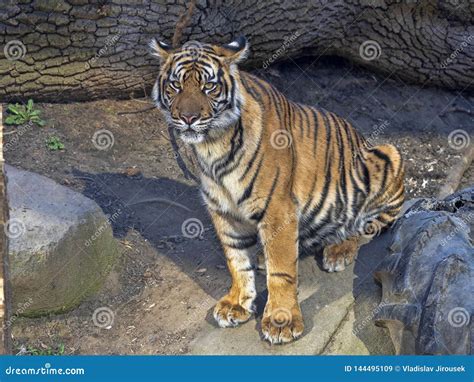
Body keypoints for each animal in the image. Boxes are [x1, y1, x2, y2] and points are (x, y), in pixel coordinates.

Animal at [151, 37, 404, 344]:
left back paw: (338, 251)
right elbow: (236, 260)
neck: (212, 146)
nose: (187, 118)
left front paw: (281, 321)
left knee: (366, 225)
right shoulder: (222, 210)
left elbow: (281, 271)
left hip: (388, 155)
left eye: (208, 86)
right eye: (175, 85)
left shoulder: (277, 209)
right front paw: (237, 303)